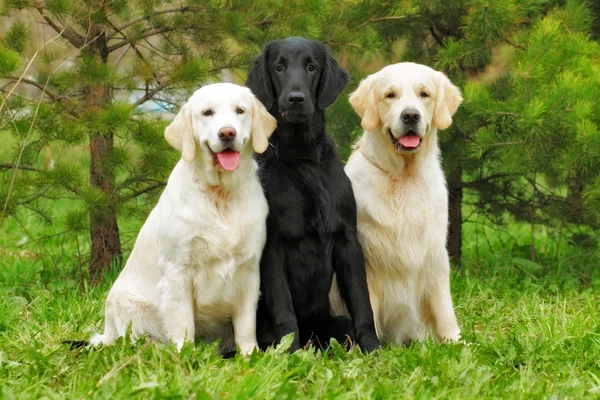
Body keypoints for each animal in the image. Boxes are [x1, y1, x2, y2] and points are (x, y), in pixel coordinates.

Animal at [90, 83, 278, 354]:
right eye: (207, 112)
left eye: (240, 111)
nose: (227, 133)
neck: (220, 195)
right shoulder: (178, 269)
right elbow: (182, 321)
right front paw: (184, 354)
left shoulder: (249, 269)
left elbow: (246, 324)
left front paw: (249, 354)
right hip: (124, 302)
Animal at [245, 36, 378, 352]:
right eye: (279, 67)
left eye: (311, 67)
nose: (295, 98)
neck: (302, 157)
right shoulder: (273, 247)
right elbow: (284, 312)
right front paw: (290, 354)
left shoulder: (347, 239)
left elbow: (362, 301)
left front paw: (373, 347)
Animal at [330, 61, 462, 344]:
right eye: (390, 95)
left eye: (425, 94)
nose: (411, 116)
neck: (403, 177)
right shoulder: (366, 262)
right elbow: (367, 307)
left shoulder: (435, 254)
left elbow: (444, 307)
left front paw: (454, 341)